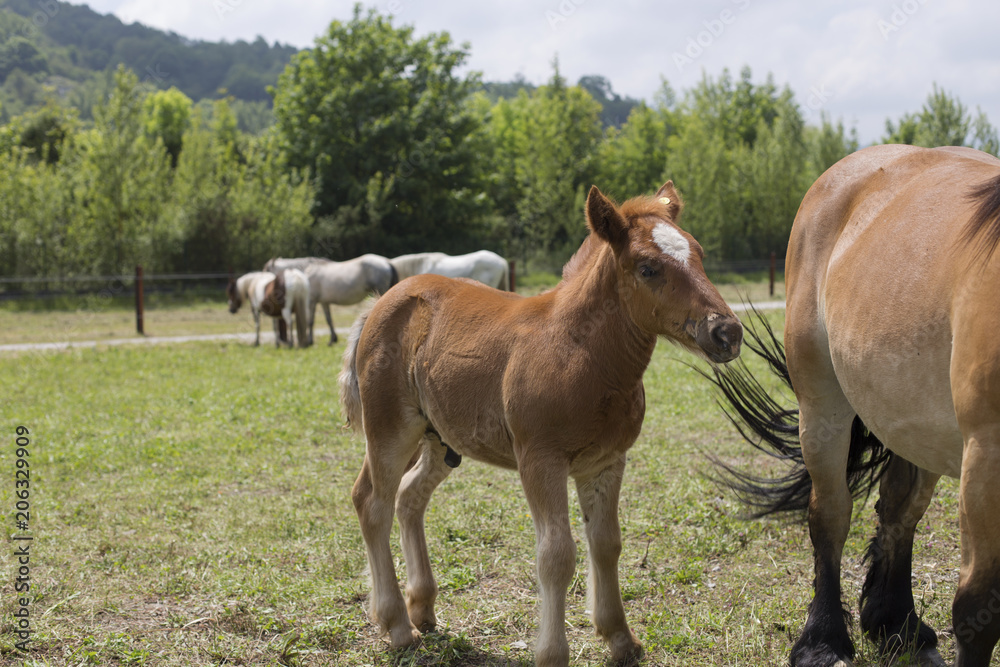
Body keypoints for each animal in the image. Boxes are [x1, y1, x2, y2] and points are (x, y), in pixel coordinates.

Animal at [266, 256, 398, 348]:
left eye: (267, 269)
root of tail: (387, 262)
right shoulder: (324, 302)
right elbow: (329, 320)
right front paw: (332, 339)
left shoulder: (312, 301)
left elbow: (310, 321)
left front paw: (310, 341)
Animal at [342, 183, 744, 667]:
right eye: (648, 268)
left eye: (699, 254)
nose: (727, 333)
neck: (584, 355)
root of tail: (380, 303)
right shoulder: (540, 460)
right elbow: (556, 555)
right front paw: (553, 652)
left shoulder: (606, 462)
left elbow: (606, 543)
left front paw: (619, 637)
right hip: (391, 431)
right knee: (372, 502)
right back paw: (398, 626)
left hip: (440, 439)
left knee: (409, 498)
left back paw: (422, 608)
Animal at [716, 146, 1000, 667]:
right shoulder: (987, 458)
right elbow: (978, 607)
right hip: (822, 408)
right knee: (830, 514)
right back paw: (823, 641)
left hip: (914, 425)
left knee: (899, 508)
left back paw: (896, 624)